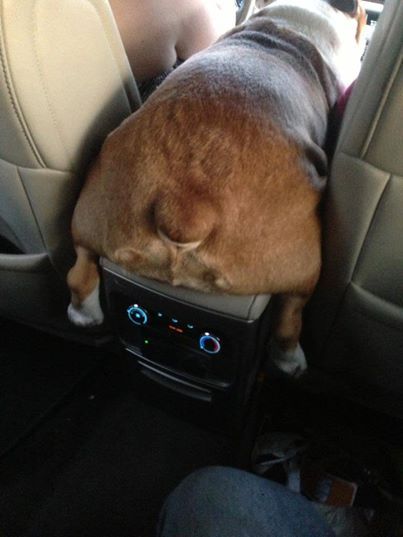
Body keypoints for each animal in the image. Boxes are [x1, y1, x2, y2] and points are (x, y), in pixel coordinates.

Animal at [66, 0, 366, 374]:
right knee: (290, 315)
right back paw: (290, 360)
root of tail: (184, 206)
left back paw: (84, 314)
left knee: (81, 269)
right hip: (303, 262)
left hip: (93, 208)